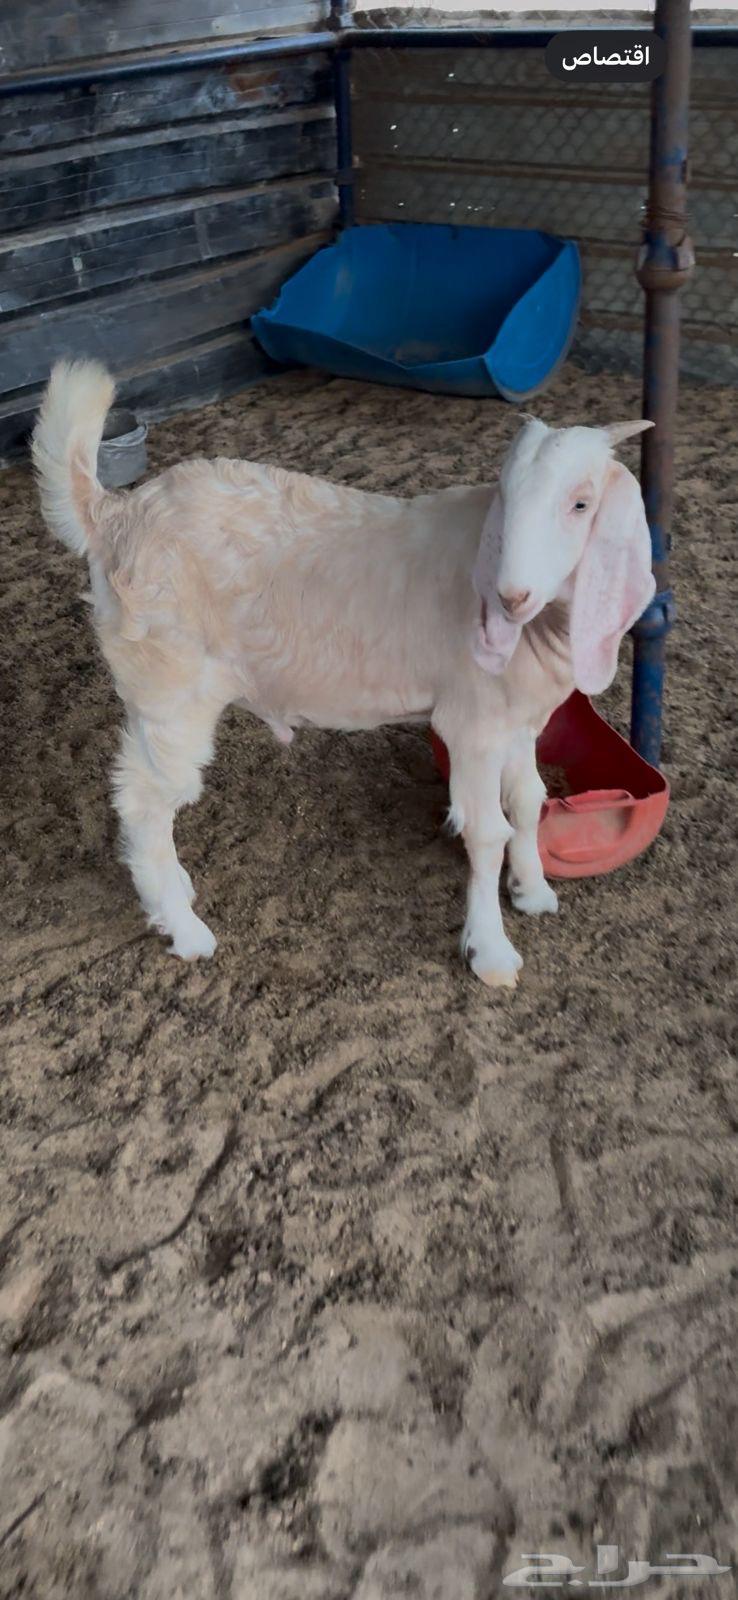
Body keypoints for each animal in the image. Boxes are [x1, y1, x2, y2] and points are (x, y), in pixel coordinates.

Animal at [32, 359, 654, 986]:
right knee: (144, 799)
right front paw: (492, 953)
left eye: (581, 504)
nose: (510, 596)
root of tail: (115, 513)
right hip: (172, 682)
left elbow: (528, 801)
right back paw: (185, 929)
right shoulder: (473, 725)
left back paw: (172, 891)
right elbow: (486, 832)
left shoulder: (519, 720)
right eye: (506, 497)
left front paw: (532, 891)